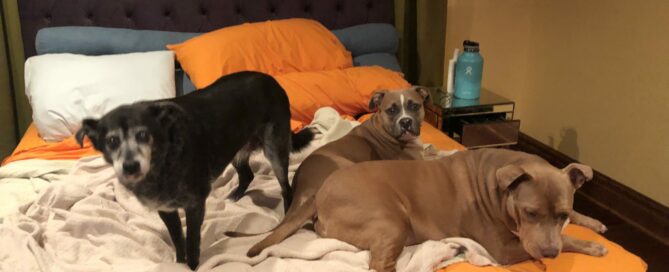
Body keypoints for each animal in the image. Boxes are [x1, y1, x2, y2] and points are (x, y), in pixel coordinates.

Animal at [74, 71, 314, 268]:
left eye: (143, 135)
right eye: (112, 141)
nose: (130, 166)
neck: (164, 160)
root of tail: (271, 80)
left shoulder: (195, 205)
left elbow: (191, 242)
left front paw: (191, 265)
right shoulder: (166, 209)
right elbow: (178, 241)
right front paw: (179, 263)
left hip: (275, 149)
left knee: (286, 188)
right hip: (234, 149)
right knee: (248, 175)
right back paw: (234, 197)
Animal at [249, 150, 604, 270]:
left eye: (561, 215)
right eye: (530, 214)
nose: (549, 253)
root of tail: (319, 193)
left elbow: (572, 223)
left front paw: (593, 223)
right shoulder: (504, 248)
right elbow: (567, 241)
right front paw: (591, 246)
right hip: (391, 221)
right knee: (379, 264)